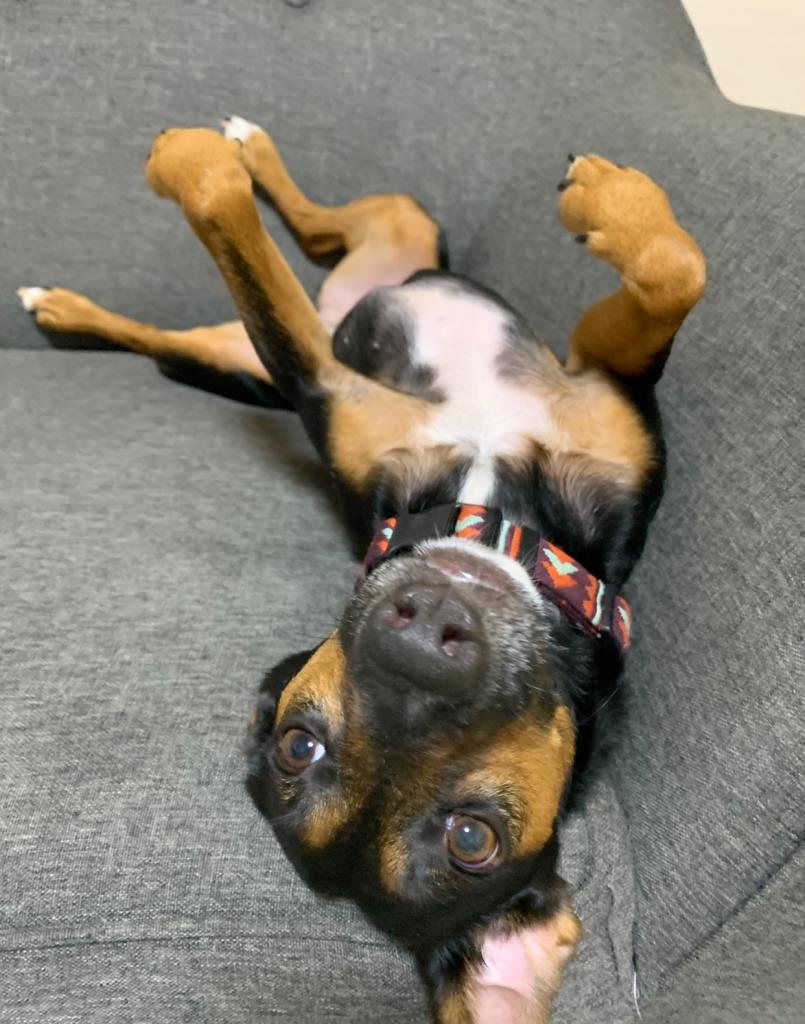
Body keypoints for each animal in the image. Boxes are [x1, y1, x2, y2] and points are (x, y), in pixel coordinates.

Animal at [18, 117, 705, 1023]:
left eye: (470, 838)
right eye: (299, 746)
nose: (421, 635)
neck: (494, 517)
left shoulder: (585, 386)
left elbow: (673, 272)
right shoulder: (359, 391)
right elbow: (672, 270)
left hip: (319, 304)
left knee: (283, 275)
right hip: (323, 300)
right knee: (260, 282)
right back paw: (100, 275)